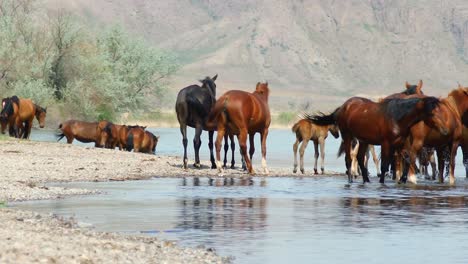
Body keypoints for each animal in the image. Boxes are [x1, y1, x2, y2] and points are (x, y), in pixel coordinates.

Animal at [308, 96, 444, 184]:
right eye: (432, 113)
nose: (443, 129)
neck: (397, 117)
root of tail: (343, 107)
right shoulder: (386, 144)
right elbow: (384, 165)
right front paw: (382, 182)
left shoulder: (400, 144)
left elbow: (407, 160)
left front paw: (403, 179)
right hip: (347, 136)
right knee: (349, 159)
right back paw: (351, 180)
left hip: (363, 140)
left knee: (360, 158)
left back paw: (366, 180)